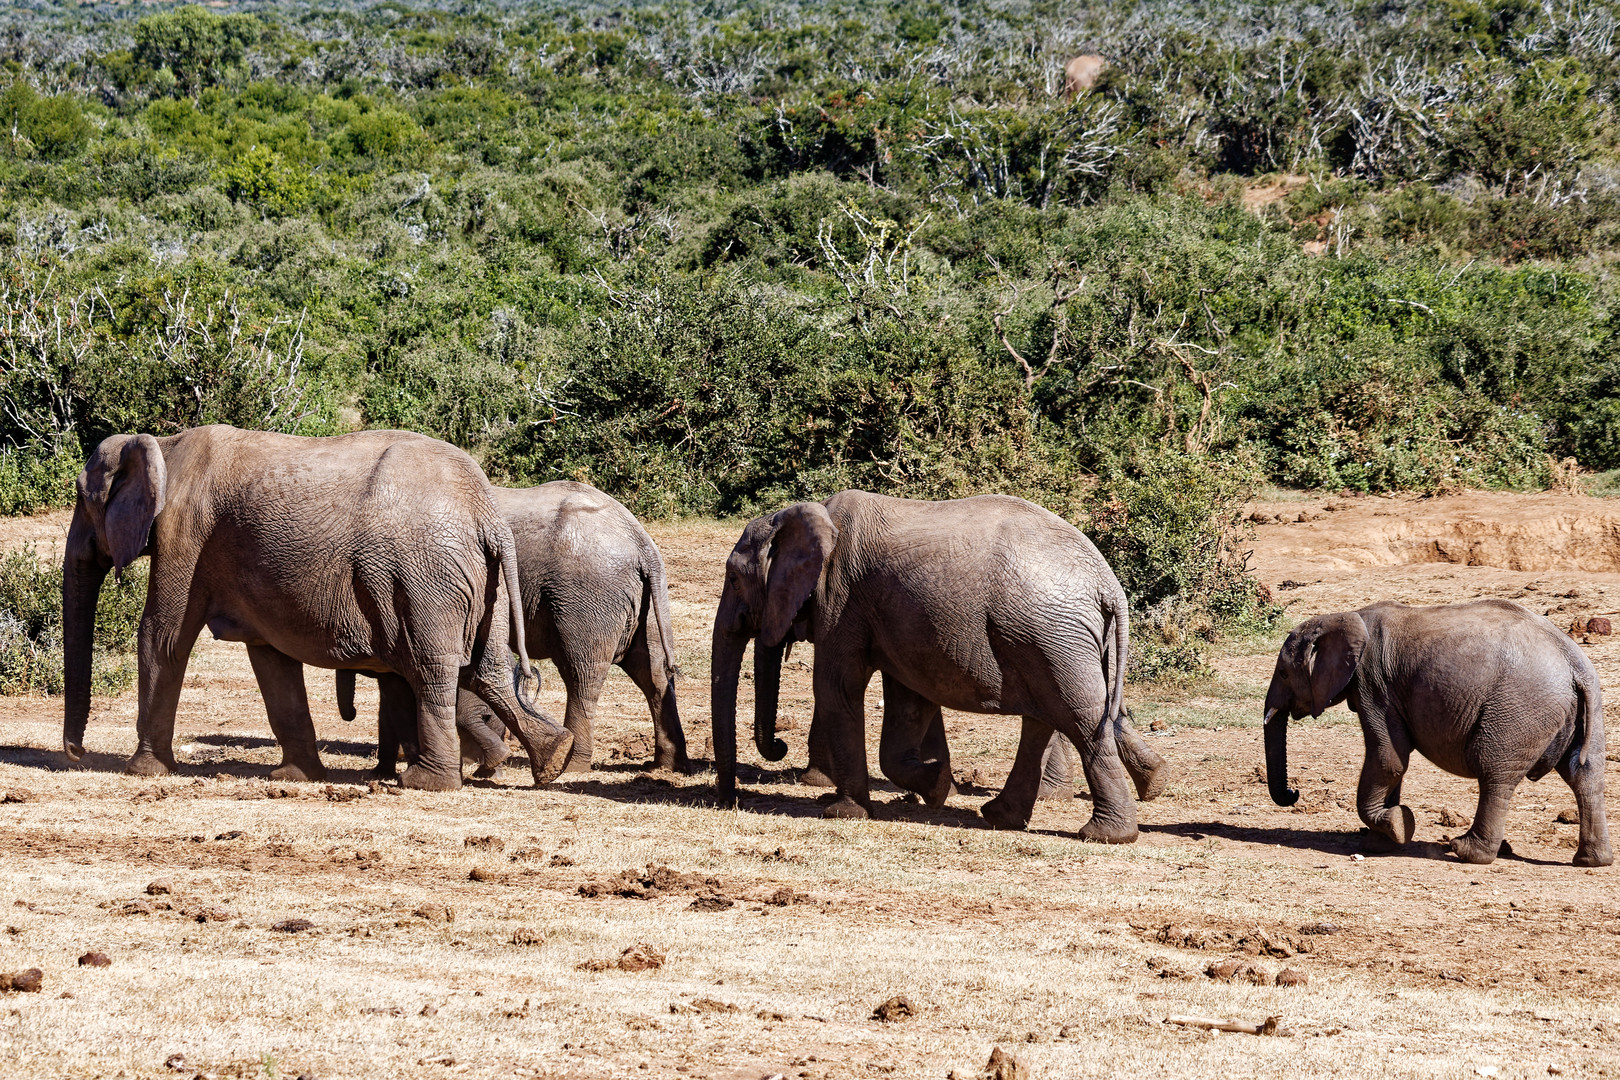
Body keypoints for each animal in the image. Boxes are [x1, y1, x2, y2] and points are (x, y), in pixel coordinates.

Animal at [66, 427, 579, 790]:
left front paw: (141, 771)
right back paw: (552, 761)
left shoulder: (184, 533)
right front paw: (294, 778)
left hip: (426, 579)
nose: (75, 753)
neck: (164, 446)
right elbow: (270, 657)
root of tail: (487, 516)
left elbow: (163, 637)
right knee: (487, 670)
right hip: (483, 582)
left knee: (433, 668)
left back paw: (425, 782)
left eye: (81, 498)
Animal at [338, 482, 686, 777]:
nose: (350, 714)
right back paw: (664, 766)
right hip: (644, 602)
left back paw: (571, 768)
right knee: (652, 672)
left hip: (589, 596)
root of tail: (642, 541)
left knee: (582, 674)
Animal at [712, 485, 1166, 841]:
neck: (807, 514)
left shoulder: (841, 600)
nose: (727, 801)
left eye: (733, 578)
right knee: (1050, 717)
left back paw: (1105, 835)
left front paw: (845, 813)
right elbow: (909, 701)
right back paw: (1004, 816)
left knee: (1078, 719)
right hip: (1052, 640)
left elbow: (837, 687)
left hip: (1051, 636)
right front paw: (937, 783)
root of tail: (1108, 584)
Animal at [1263, 599, 1607, 867]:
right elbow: (1393, 762)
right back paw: (1591, 861)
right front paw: (1382, 841)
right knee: (1584, 774)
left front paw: (1397, 826)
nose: (1294, 792)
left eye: (1283, 673)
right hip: (1580, 709)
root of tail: (1573, 662)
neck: (1347, 615)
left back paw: (1465, 851)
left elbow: (1389, 759)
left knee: (1494, 772)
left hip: (1520, 709)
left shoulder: (1374, 684)